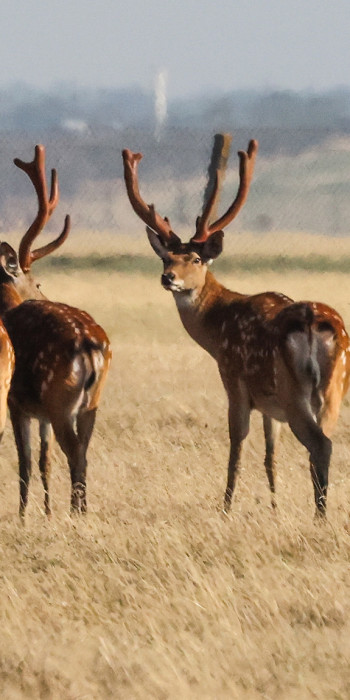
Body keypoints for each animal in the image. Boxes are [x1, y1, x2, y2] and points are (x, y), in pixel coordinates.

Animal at [0, 146, 110, 520]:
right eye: (39, 282)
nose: (44, 293)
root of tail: (91, 347)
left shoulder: (15, 401)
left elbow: (25, 461)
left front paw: (22, 516)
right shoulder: (40, 412)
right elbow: (44, 460)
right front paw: (46, 511)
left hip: (60, 396)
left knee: (74, 451)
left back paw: (77, 512)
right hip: (90, 401)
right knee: (84, 449)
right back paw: (80, 509)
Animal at [122, 141, 350, 516]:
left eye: (196, 259)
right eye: (166, 258)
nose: (168, 277)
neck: (218, 331)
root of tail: (313, 324)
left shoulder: (234, 381)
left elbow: (236, 448)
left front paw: (226, 506)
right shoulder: (270, 406)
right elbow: (270, 455)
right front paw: (273, 505)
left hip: (293, 389)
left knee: (320, 445)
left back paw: (319, 515)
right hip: (332, 389)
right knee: (327, 443)